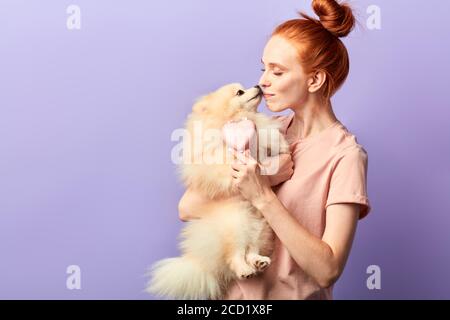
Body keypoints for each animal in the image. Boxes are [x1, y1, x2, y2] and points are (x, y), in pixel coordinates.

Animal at [146, 83, 290, 300]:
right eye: (239, 92)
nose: (257, 85)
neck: (238, 118)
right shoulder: (211, 155)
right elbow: (225, 157)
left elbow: (268, 139)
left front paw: (278, 147)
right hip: (235, 224)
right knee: (234, 257)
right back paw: (245, 270)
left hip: (261, 226)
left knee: (250, 249)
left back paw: (258, 261)